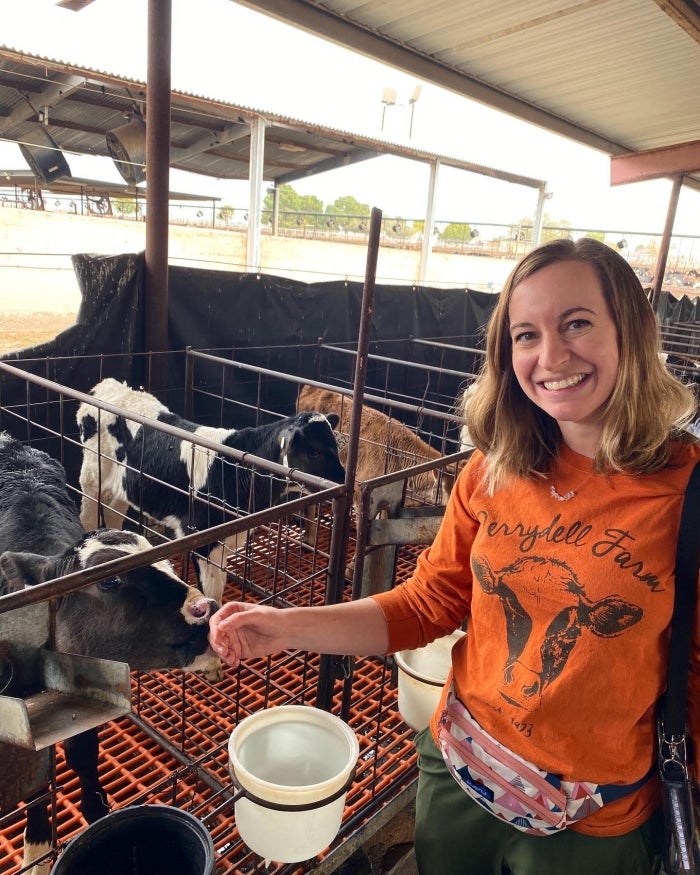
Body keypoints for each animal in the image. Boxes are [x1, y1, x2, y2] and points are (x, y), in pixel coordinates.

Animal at [0, 432, 217, 875]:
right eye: (109, 581)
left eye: (165, 563)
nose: (204, 607)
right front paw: (35, 849)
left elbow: (81, 756)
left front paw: (96, 813)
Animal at [76, 376, 344, 608]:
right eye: (315, 452)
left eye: (335, 445)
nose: (343, 481)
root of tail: (108, 385)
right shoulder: (201, 538)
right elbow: (212, 592)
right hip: (91, 478)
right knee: (88, 516)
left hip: (120, 489)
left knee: (113, 514)